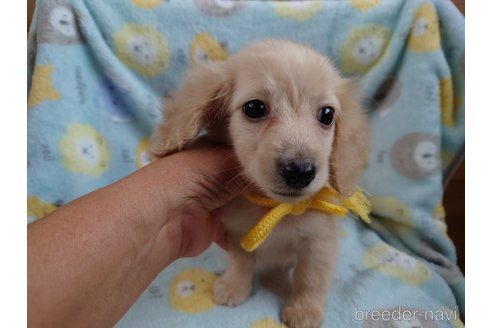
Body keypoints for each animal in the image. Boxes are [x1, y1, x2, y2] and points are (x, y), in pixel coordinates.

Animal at [151, 39, 368, 326]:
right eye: (254, 108)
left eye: (327, 114)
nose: (300, 171)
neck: (275, 209)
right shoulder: (236, 231)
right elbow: (240, 262)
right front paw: (234, 287)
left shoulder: (319, 242)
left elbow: (310, 278)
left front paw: (304, 310)